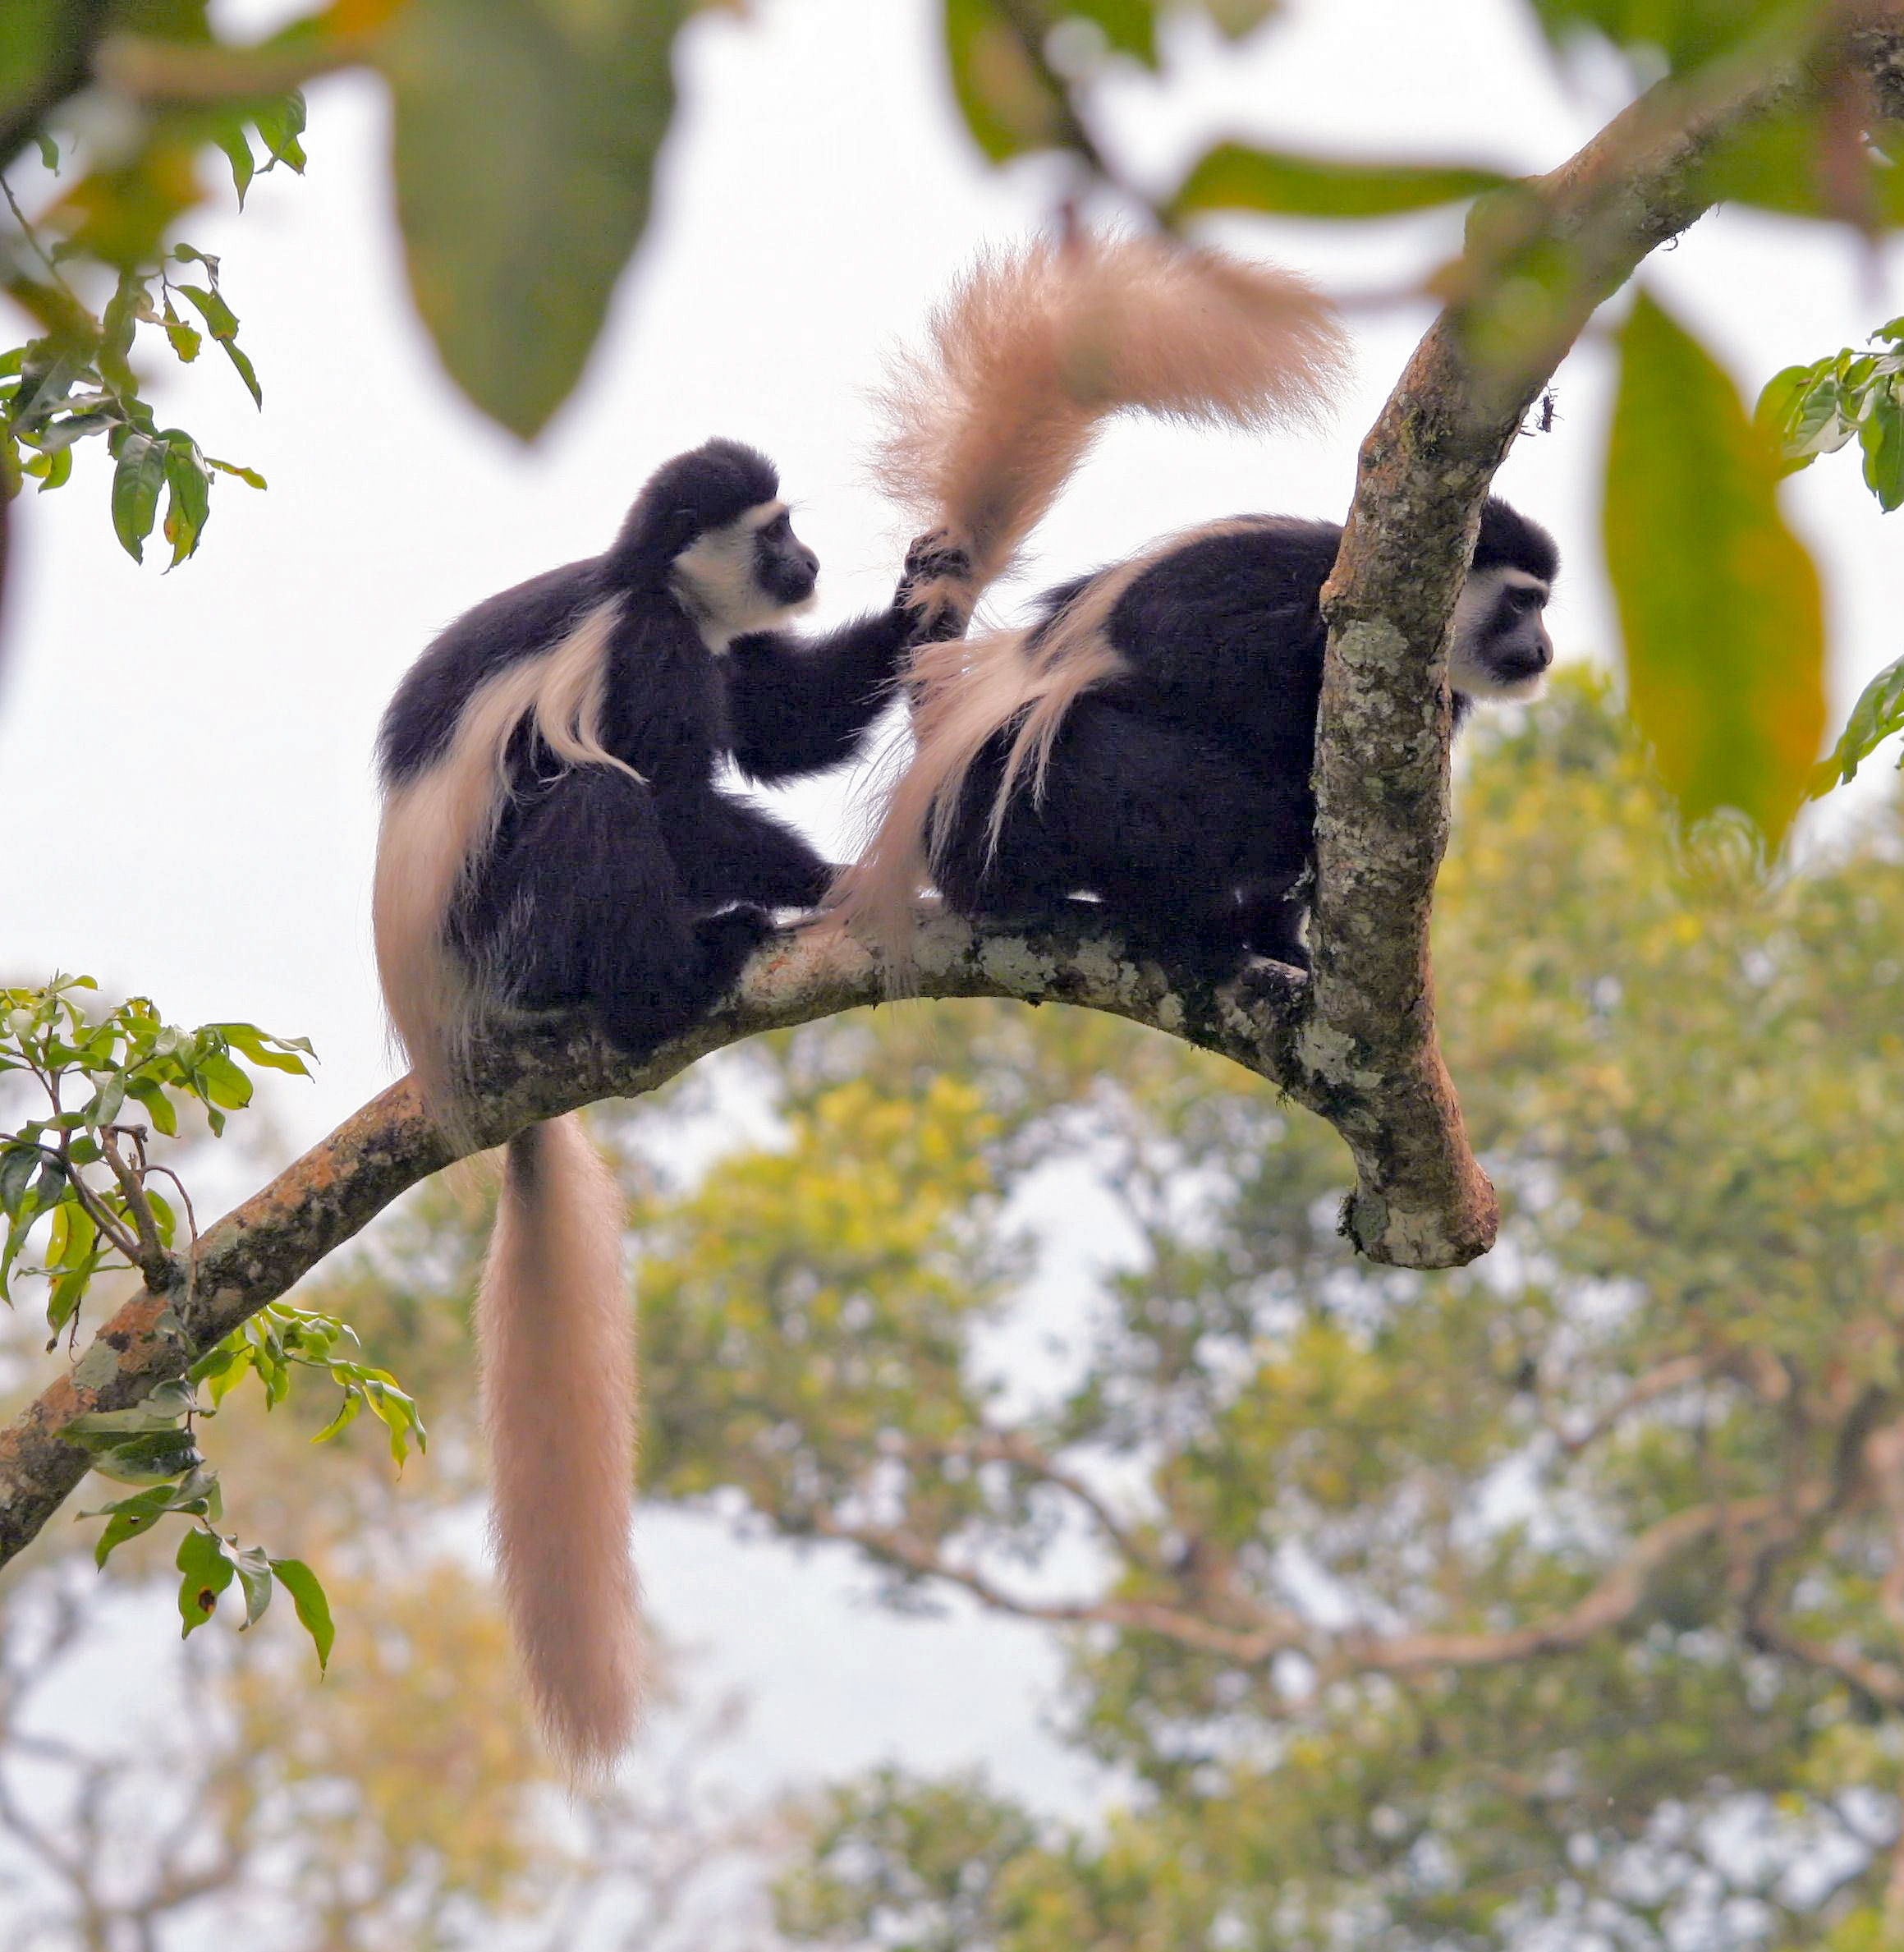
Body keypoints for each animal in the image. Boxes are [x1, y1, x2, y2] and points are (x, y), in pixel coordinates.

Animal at [372, 438, 952, 1771]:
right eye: (774, 530)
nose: (808, 561)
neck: (654, 584)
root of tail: (449, 1041)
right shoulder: (651, 649)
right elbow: (682, 792)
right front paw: (842, 882)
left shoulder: (718, 648)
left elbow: (780, 725)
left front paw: (926, 593)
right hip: (514, 936)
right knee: (602, 805)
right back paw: (672, 982)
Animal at [828, 235, 1558, 975]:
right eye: (1522, 602)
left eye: (1542, 606)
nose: (1543, 649)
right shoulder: (1295, 562)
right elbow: (1165, 627)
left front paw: (1281, 942)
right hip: (1016, 789)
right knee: (1169, 783)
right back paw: (1187, 918)